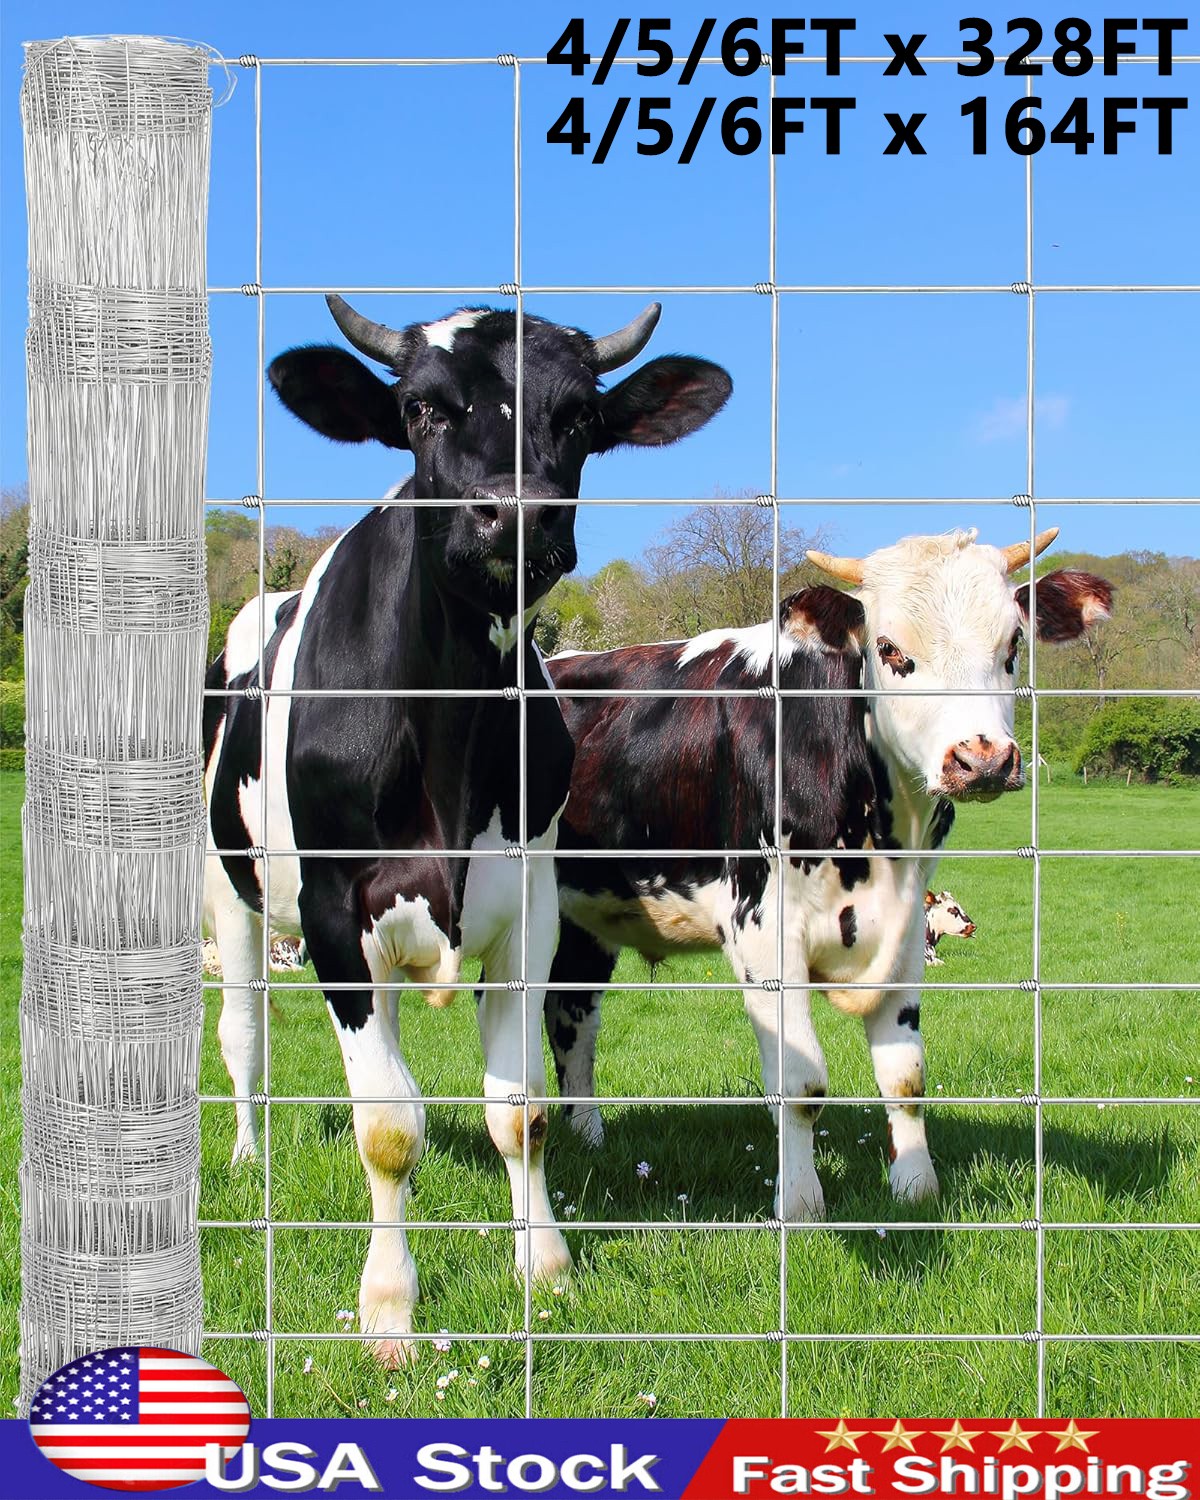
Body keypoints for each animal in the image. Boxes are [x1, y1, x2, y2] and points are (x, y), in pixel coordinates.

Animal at [203, 296, 732, 1365]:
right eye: (420, 408)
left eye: (580, 416)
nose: (515, 514)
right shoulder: (333, 914)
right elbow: (387, 1129)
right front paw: (389, 1310)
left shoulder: (528, 906)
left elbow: (519, 1110)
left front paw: (547, 1268)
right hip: (225, 887)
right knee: (244, 1035)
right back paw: (244, 1152)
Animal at [542, 528, 1112, 1222]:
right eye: (889, 648)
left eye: (1013, 646)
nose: (981, 760)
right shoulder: (761, 930)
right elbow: (801, 1082)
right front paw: (801, 1202)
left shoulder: (906, 931)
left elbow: (906, 1076)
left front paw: (916, 1187)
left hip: (585, 917)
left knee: (571, 1016)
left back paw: (588, 1138)